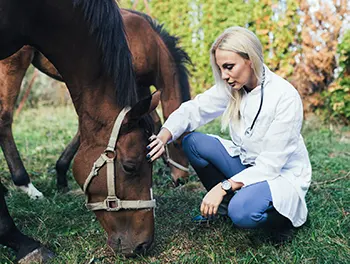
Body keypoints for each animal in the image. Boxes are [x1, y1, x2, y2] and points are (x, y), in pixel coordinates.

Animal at [0, 8, 191, 200]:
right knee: (5, 119)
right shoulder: (130, 88)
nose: (182, 179)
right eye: (177, 143)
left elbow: (152, 121)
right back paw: (26, 185)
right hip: (13, 64)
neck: (149, 42)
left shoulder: (140, 91)